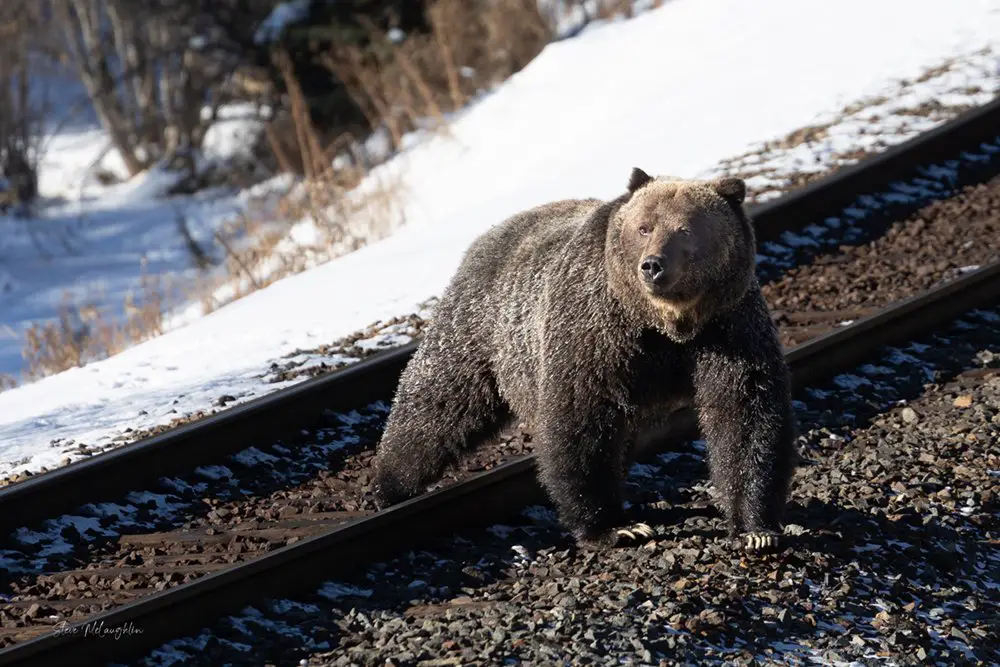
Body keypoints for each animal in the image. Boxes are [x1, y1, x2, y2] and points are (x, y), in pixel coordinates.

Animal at [370, 167, 796, 552]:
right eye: (644, 227)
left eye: (686, 230)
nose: (653, 265)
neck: (665, 324)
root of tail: (489, 234)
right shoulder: (593, 329)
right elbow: (579, 419)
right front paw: (614, 527)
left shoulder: (729, 325)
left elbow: (744, 413)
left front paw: (755, 527)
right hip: (480, 329)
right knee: (436, 403)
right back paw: (387, 485)